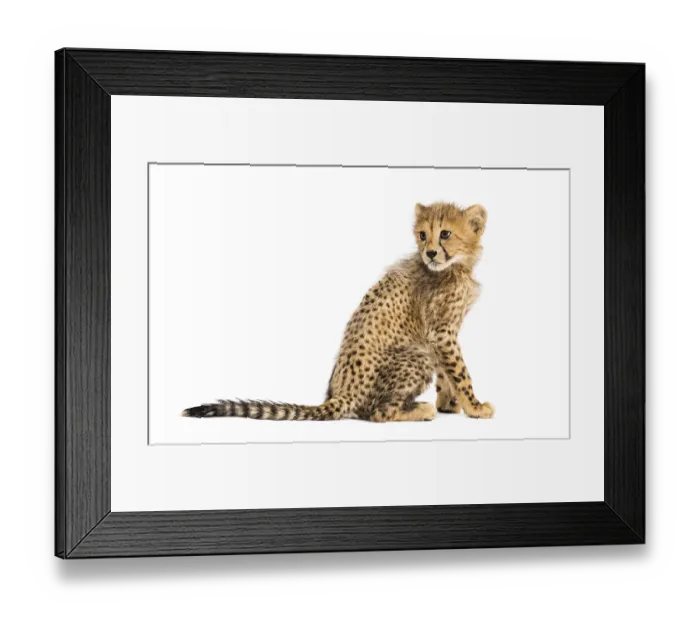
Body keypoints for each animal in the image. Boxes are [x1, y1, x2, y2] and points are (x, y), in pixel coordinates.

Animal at [182, 201, 494, 423]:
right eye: (422, 235)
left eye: (445, 234)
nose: (430, 253)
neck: (455, 266)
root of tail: (342, 393)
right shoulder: (440, 333)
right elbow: (459, 372)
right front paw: (475, 407)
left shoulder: (439, 334)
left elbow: (447, 373)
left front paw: (450, 405)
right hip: (415, 356)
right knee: (377, 413)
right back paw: (421, 409)